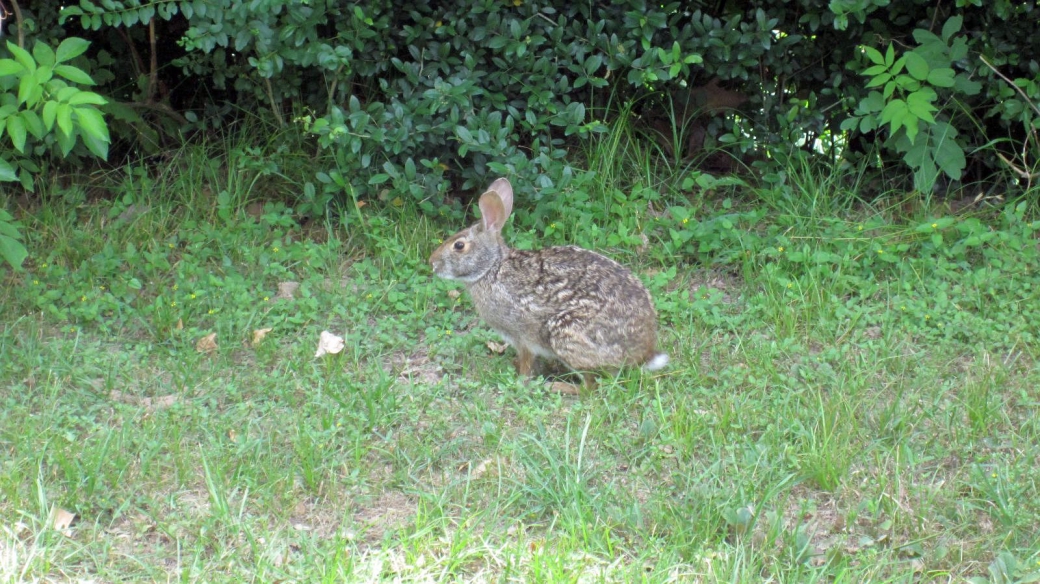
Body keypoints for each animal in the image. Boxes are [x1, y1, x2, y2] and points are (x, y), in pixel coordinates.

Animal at [428, 177, 665, 386]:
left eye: (459, 246)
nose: (432, 262)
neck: (491, 269)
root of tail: (643, 353)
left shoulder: (521, 334)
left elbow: (526, 359)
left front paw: (521, 380)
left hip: (565, 334)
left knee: (591, 386)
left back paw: (558, 387)